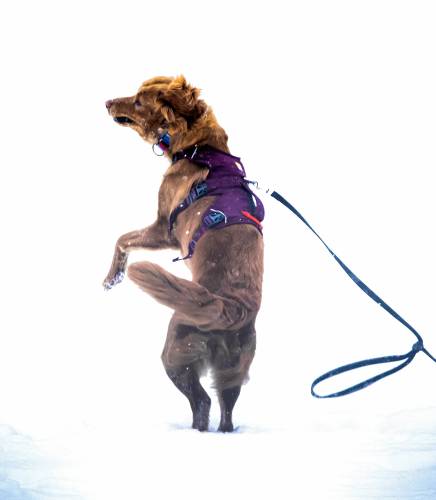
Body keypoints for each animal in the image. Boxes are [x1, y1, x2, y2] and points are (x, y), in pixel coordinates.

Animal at [104, 76, 264, 432]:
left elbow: (122, 239)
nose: (106, 102)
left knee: (202, 402)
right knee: (225, 413)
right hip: (233, 369)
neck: (200, 148)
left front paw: (112, 278)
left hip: (176, 353)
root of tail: (231, 308)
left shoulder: (164, 228)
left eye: (138, 101)